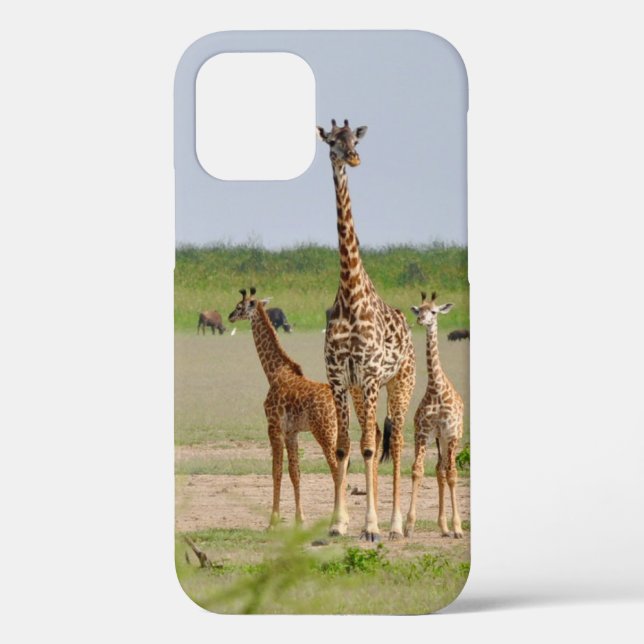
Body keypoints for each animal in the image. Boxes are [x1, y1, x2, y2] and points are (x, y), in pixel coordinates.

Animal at [227, 287, 348, 533]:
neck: (274, 372)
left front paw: (272, 521)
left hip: (324, 431)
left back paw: (337, 521)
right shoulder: (292, 432)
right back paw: (344, 518)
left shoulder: (273, 427)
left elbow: (276, 471)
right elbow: (295, 473)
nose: (229, 317)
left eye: (239, 306)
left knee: (336, 468)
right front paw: (299, 519)